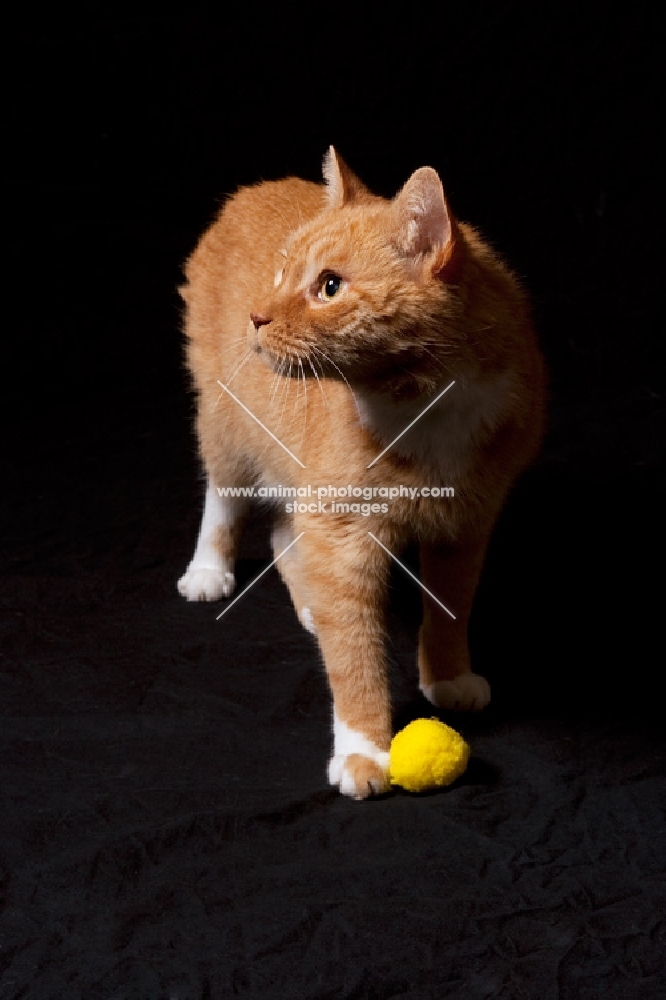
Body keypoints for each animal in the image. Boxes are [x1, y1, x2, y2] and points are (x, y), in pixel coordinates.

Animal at [178, 148, 544, 800]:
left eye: (329, 286)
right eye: (281, 272)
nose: (256, 317)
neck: (421, 406)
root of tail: (249, 191)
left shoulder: (467, 520)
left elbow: (452, 603)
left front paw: (448, 675)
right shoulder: (343, 529)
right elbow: (353, 649)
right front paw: (364, 748)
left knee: (284, 532)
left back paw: (308, 605)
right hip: (226, 419)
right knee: (224, 496)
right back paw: (210, 569)